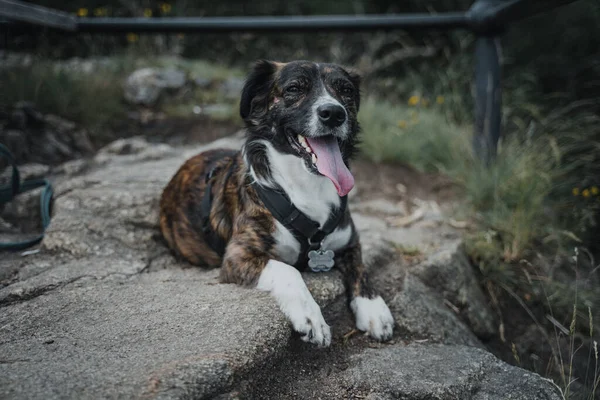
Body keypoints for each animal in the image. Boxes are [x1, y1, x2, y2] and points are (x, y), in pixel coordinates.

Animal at [159, 60, 394, 346]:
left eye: (346, 90)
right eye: (294, 88)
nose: (334, 114)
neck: (308, 185)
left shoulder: (350, 242)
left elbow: (362, 269)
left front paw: (375, 309)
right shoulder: (237, 257)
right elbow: (289, 271)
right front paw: (311, 318)